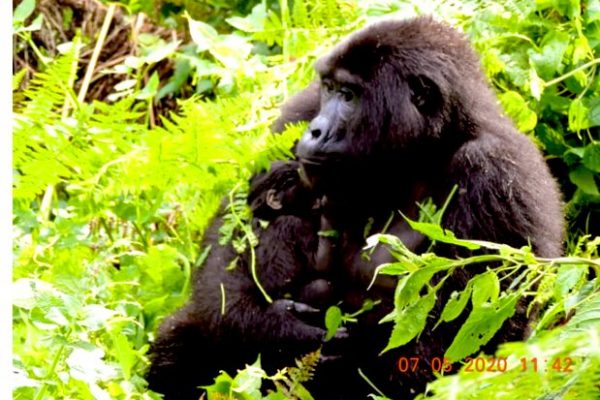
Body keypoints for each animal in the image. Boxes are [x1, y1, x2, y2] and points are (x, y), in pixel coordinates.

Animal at [274, 15, 564, 396]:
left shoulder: (497, 176)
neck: (427, 148)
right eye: (329, 88)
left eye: (349, 95)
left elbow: (465, 339)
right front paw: (283, 331)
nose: (315, 131)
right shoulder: (301, 110)